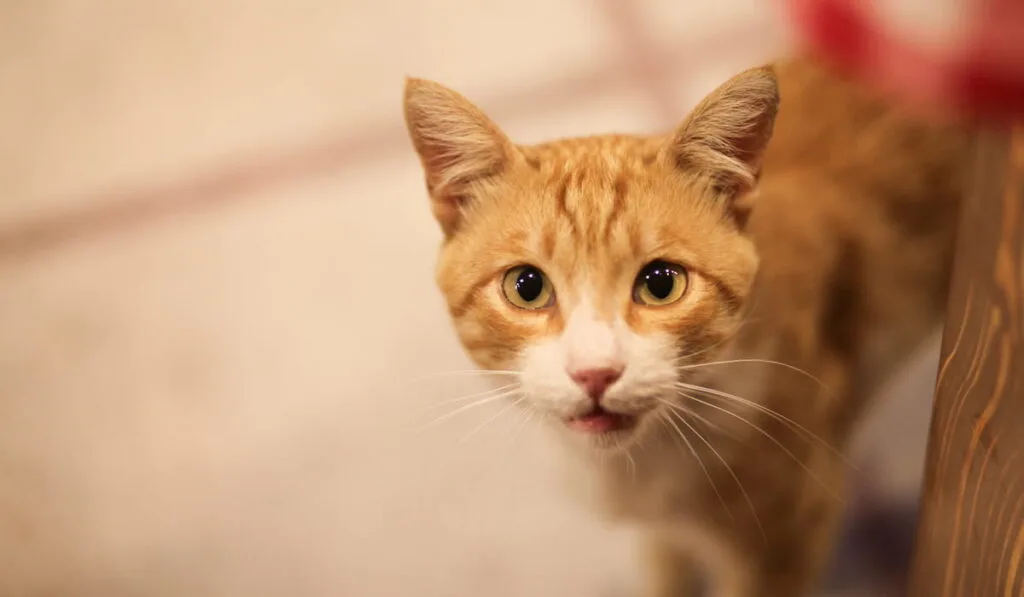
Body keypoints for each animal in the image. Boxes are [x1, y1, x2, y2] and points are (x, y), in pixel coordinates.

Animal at [399, 57, 966, 597]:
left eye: (661, 283)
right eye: (527, 286)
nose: (596, 373)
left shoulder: (788, 538)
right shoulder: (668, 533)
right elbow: (667, 566)